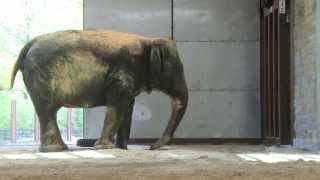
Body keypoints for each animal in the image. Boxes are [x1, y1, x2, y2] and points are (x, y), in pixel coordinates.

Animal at [10, 29, 188, 152]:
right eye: (176, 69)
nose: (149, 147)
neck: (148, 40)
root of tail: (29, 44)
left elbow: (127, 108)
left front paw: (122, 149)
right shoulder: (121, 74)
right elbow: (117, 107)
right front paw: (105, 148)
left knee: (46, 112)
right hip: (41, 77)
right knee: (48, 110)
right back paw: (56, 150)